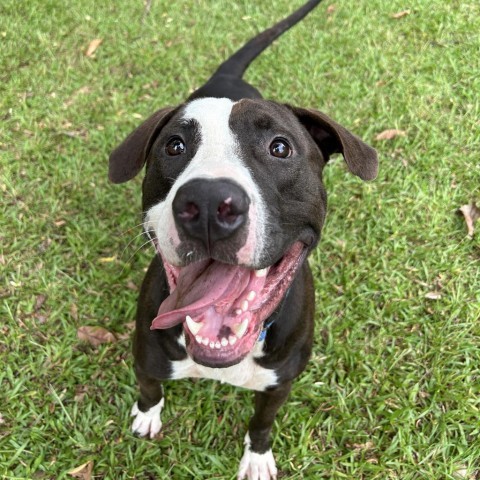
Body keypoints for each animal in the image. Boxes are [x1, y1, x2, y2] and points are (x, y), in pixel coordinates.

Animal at [109, 1, 378, 478]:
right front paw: (146, 414)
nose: (208, 202)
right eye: (174, 146)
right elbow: (149, 387)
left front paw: (257, 456)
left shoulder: (280, 384)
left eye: (280, 147)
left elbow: (263, 421)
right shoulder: (146, 355)